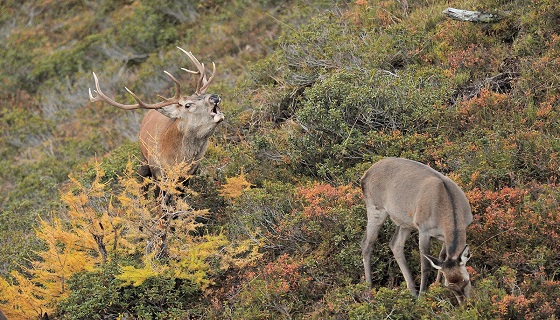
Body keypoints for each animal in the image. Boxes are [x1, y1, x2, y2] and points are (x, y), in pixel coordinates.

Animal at [89, 46, 223, 179]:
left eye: (204, 94)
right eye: (187, 105)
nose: (214, 97)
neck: (175, 159)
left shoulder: (191, 173)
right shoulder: (158, 171)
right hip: (144, 159)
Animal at [364, 157, 472, 302]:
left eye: (466, 281)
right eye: (450, 287)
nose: (466, 304)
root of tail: (364, 176)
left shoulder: (444, 236)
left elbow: (441, 257)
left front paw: (435, 286)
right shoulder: (423, 230)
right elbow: (425, 266)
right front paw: (423, 296)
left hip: (405, 222)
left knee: (395, 244)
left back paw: (411, 291)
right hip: (375, 209)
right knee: (366, 245)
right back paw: (369, 291)